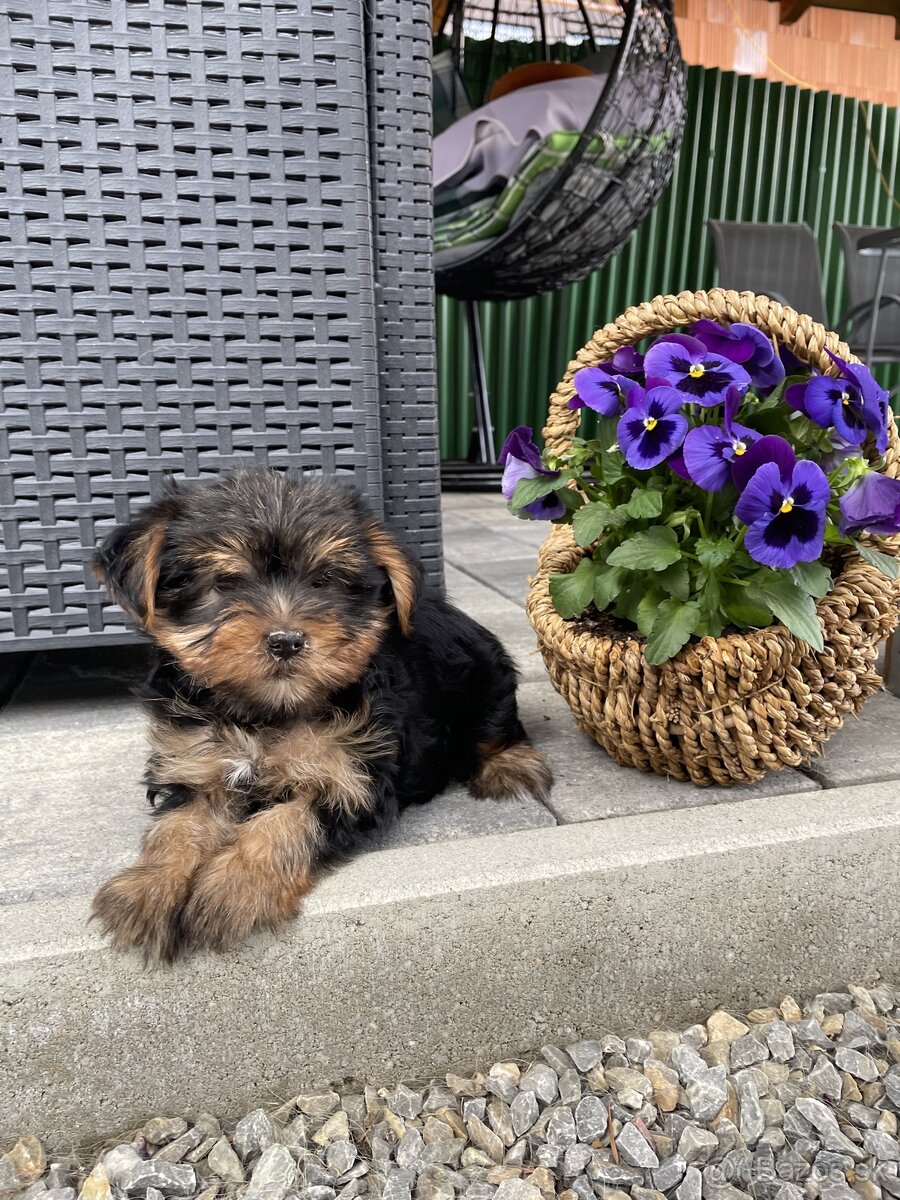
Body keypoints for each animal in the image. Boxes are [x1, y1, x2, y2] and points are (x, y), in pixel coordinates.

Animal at [95, 463, 554, 960]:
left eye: (324, 581)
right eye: (226, 583)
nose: (286, 640)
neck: (264, 713)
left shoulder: (349, 780)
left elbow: (286, 823)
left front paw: (233, 886)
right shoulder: (196, 763)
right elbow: (178, 826)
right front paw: (149, 887)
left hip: (486, 674)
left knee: (497, 725)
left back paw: (510, 765)